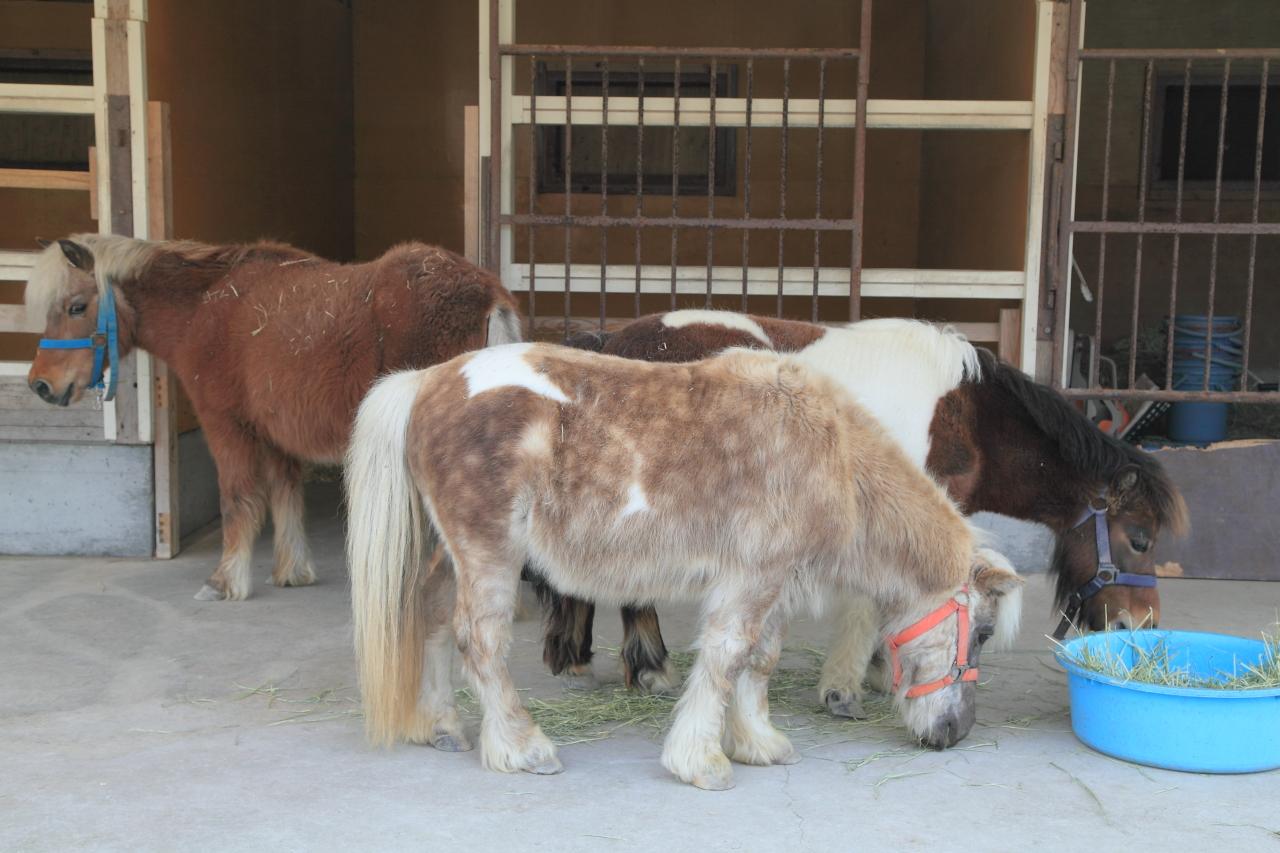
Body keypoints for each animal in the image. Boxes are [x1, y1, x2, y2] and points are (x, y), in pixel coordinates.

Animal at [24, 234, 517, 596]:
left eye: (75, 307)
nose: (40, 385)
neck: (204, 307)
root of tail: (487, 292)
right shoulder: (277, 436)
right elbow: (285, 497)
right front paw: (291, 570)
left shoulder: (225, 427)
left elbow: (237, 499)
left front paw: (225, 580)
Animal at [345, 343, 1024, 788]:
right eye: (983, 633)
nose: (954, 732)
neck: (829, 454)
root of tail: (427, 381)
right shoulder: (750, 580)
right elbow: (725, 659)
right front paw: (702, 761)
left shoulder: (774, 584)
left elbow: (758, 661)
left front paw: (757, 744)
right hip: (490, 554)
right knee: (478, 641)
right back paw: (522, 748)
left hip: (452, 554)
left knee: (433, 619)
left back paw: (440, 725)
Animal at [529, 308, 1187, 712]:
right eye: (1139, 538)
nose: (1140, 626)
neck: (966, 419)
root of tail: (609, 344)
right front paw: (848, 684)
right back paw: (647, 667)